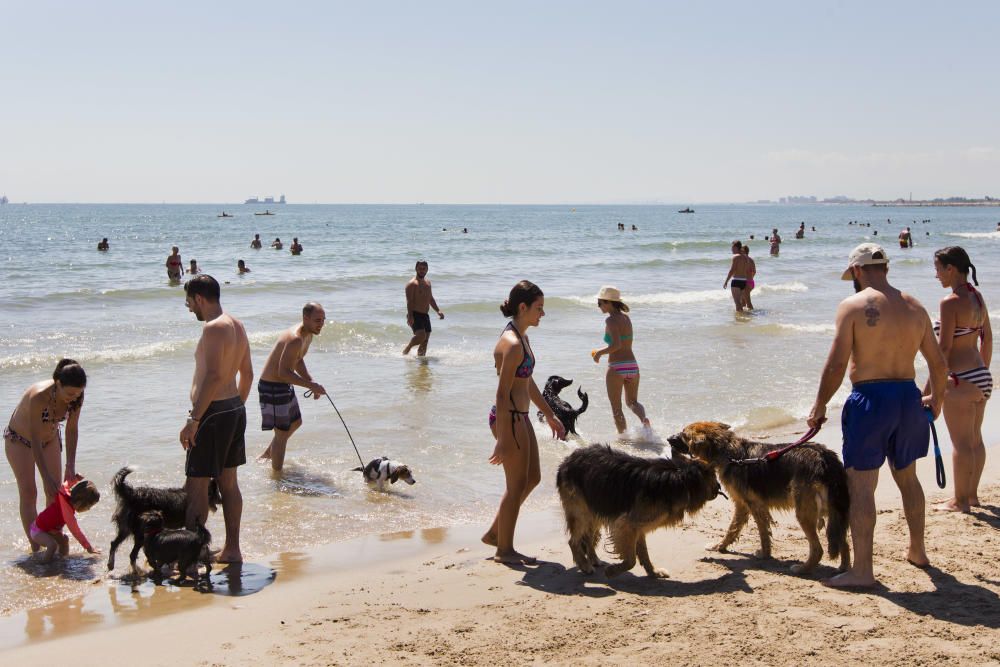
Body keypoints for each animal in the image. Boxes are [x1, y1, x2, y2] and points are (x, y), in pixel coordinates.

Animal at [556, 444, 720, 580]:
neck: (682, 477)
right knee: (574, 541)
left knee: (589, 537)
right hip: (581, 513)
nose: (719, 488)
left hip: (596, 508)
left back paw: (593, 559)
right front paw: (612, 572)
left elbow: (644, 553)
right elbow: (631, 560)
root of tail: (567, 460)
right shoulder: (626, 525)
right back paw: (584, 565)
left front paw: (653, 572)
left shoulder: (638, 527)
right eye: (714, 477)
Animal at [668, 422, 848, 576]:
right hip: (835, 511)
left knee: (818, 549)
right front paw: (721, 546)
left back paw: (803, 569)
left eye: (684, 434)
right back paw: (843, 570)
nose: (668, 438)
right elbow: (734, 529)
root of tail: (825, 458)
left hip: (804, 512)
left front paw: (764, 554)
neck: (728, 452)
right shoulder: (744, 505)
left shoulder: (751, 504)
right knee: (844, 542)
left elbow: (760, 532)